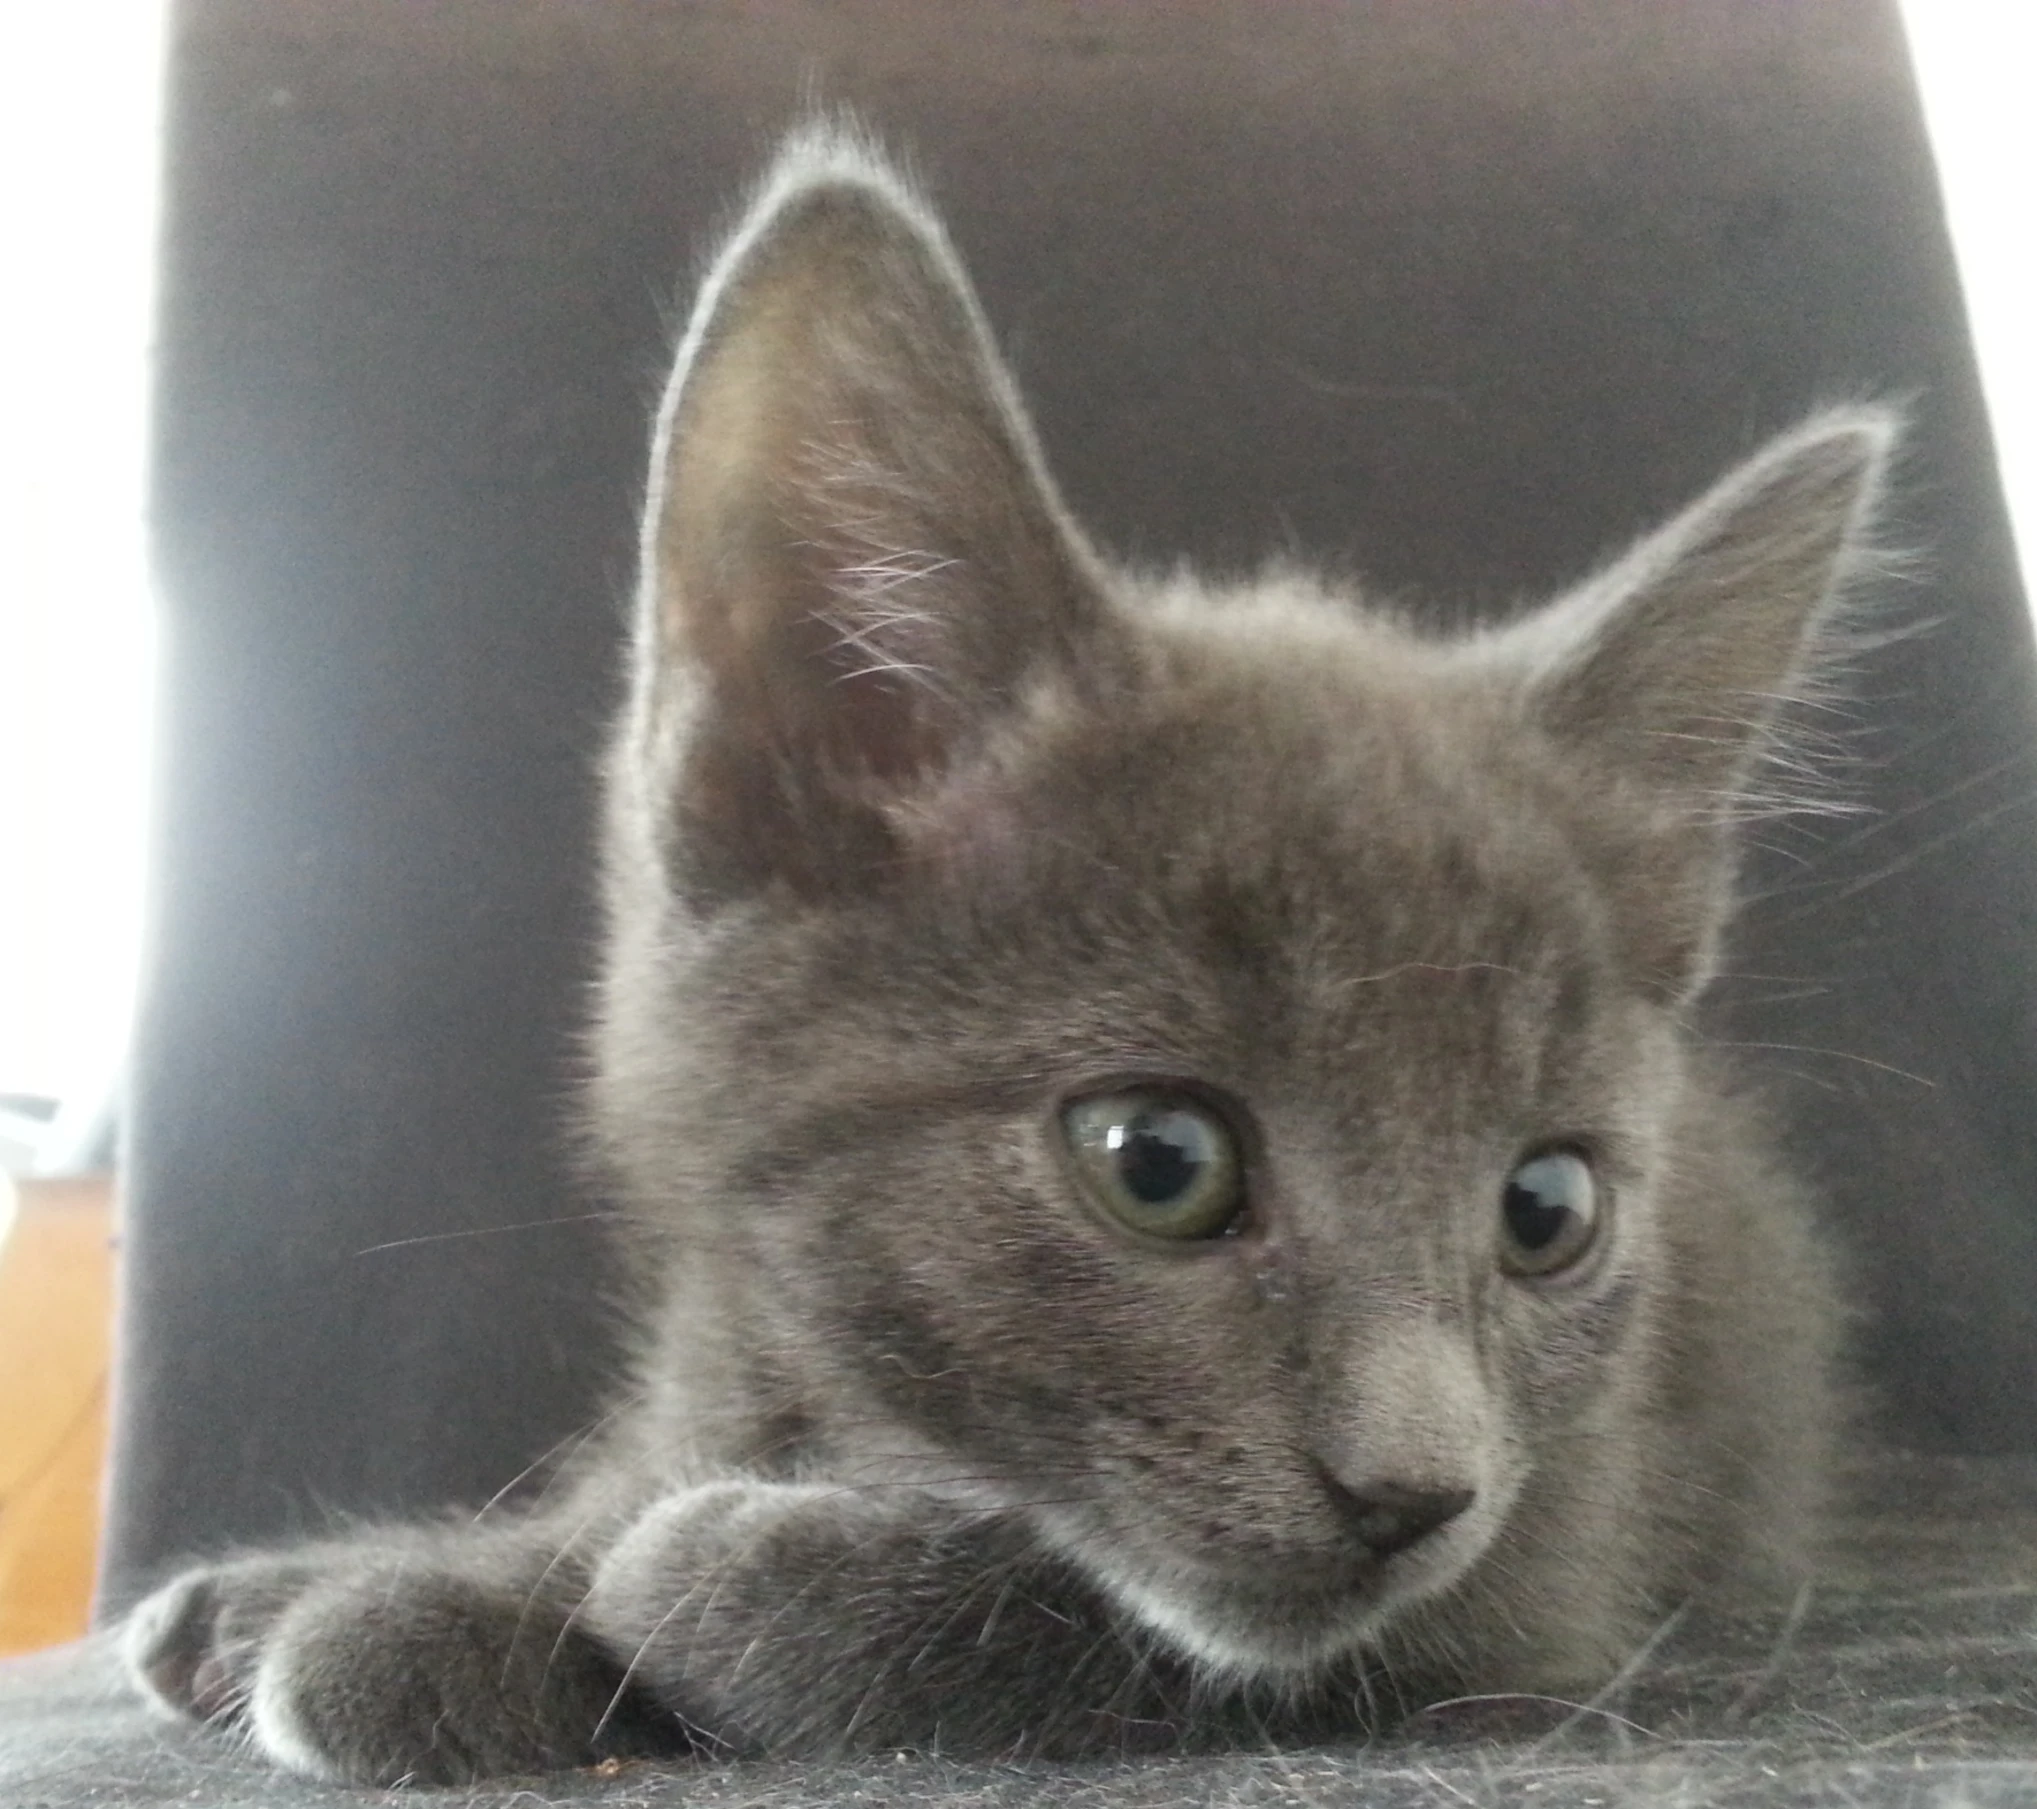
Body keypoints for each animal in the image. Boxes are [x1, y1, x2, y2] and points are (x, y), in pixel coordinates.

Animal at [127, 123, 1882, 1784]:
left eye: (1549, 1210)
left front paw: (705, 1576)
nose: (1416, 1490)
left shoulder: (1537, 1573)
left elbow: (1155, 1636)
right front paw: (451, 1587)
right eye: (1158, 1159)